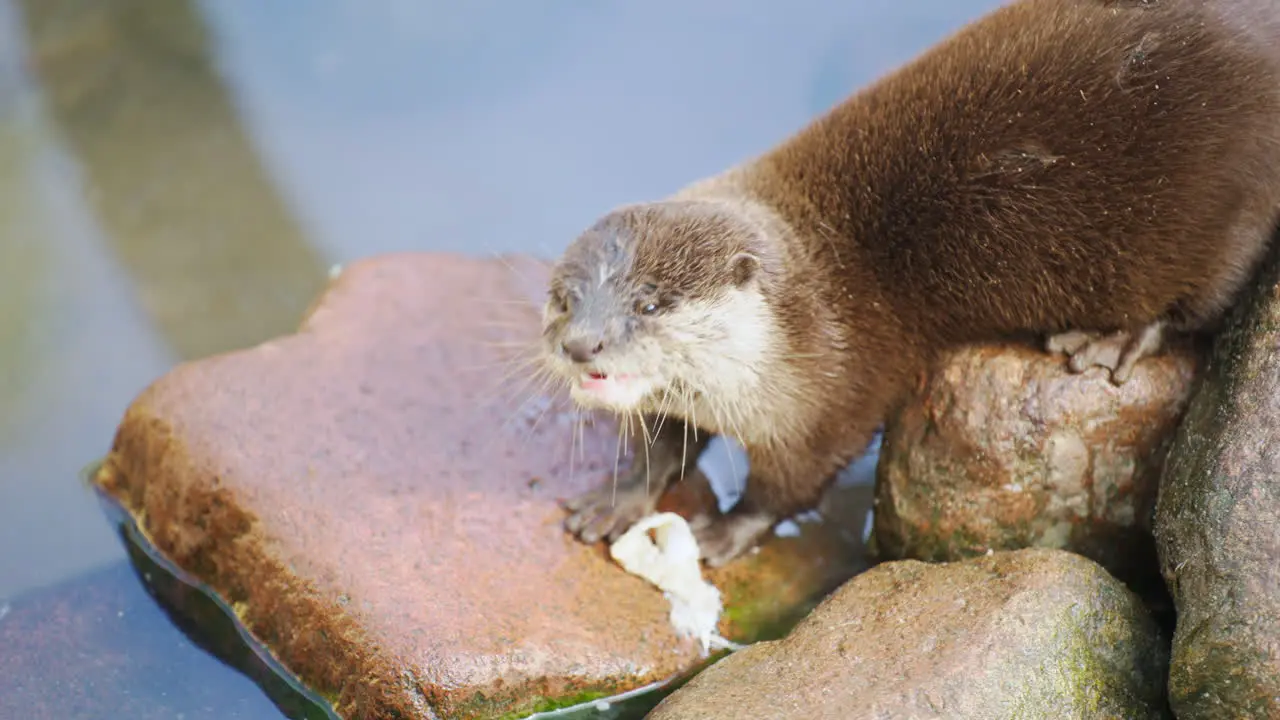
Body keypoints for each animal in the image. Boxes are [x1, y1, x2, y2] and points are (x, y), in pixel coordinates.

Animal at [537, 0, 1280, 563]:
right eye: (564, 301)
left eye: (648, 303)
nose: (580, 345)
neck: (810, 300)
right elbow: (663, 439)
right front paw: (622, 496)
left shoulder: (833, 393)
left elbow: (792, 484)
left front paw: (722, 532)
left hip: (1228, 198)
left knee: (1199, 299)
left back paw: (1112, 340)